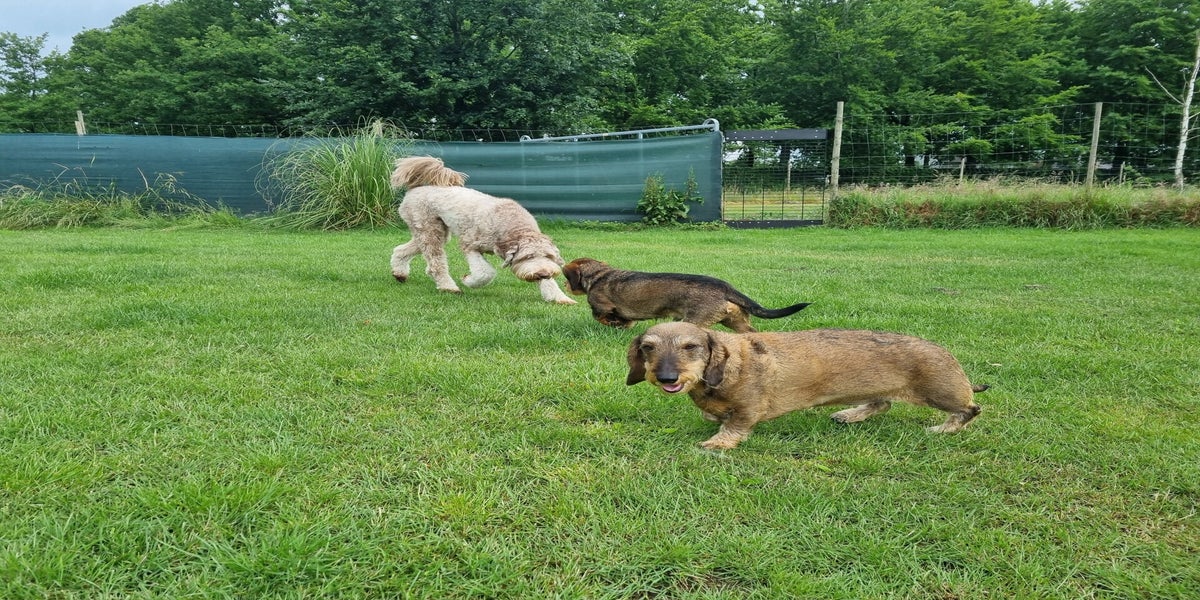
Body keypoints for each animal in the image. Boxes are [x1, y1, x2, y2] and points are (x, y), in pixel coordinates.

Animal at [389, 156, 575, 304]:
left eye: (549, 256)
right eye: (527, 257)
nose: (543, 273)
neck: (509, 224)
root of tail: (416, 188)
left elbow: (550, 282)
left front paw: (561, 298)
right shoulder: (470, 245)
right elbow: (485, 273)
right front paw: (468, 280)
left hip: (436, 232)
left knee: (402, 250)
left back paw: (400, 273)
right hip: (429, 230)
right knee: (436, 263)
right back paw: (449, 287)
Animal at [562, 257, 809, 332]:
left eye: (566, 277)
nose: (565, 286)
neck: (598, 275)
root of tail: (725, 287)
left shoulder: (601, 307)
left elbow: (601, 316)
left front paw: (614, 325)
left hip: (694, 321)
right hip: (736, 321)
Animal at [626, 322, 986, 450]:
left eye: (691, 347)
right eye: (648, 347)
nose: (667, 377)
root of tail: (945, 352)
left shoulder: (748, 408)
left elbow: (736, 425)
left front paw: (719, 442)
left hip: (940, 392)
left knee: (971, 408)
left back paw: (944, 429)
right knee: (881, 403)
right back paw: (850, 414)